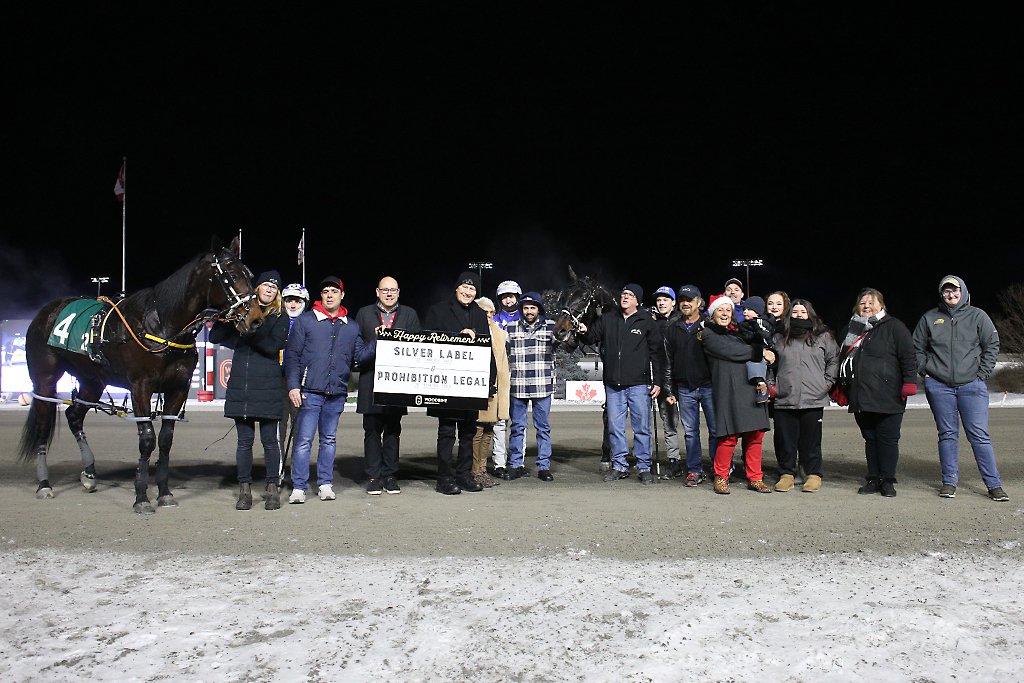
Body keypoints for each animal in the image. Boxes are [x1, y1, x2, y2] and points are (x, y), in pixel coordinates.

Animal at [16, 236, 264, 511]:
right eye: (231, 274)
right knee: (43, 425)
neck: (162, 326)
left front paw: (164, 492)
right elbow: (147, 439)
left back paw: (89, 473)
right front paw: (142, 497)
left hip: (92, 380)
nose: (255, 318)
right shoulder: (141, 386)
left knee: (74, 416)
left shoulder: (178, 387)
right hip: (45, 379)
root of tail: (45, 312)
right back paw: (44, 484)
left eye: (249, 274)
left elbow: (166, 439)